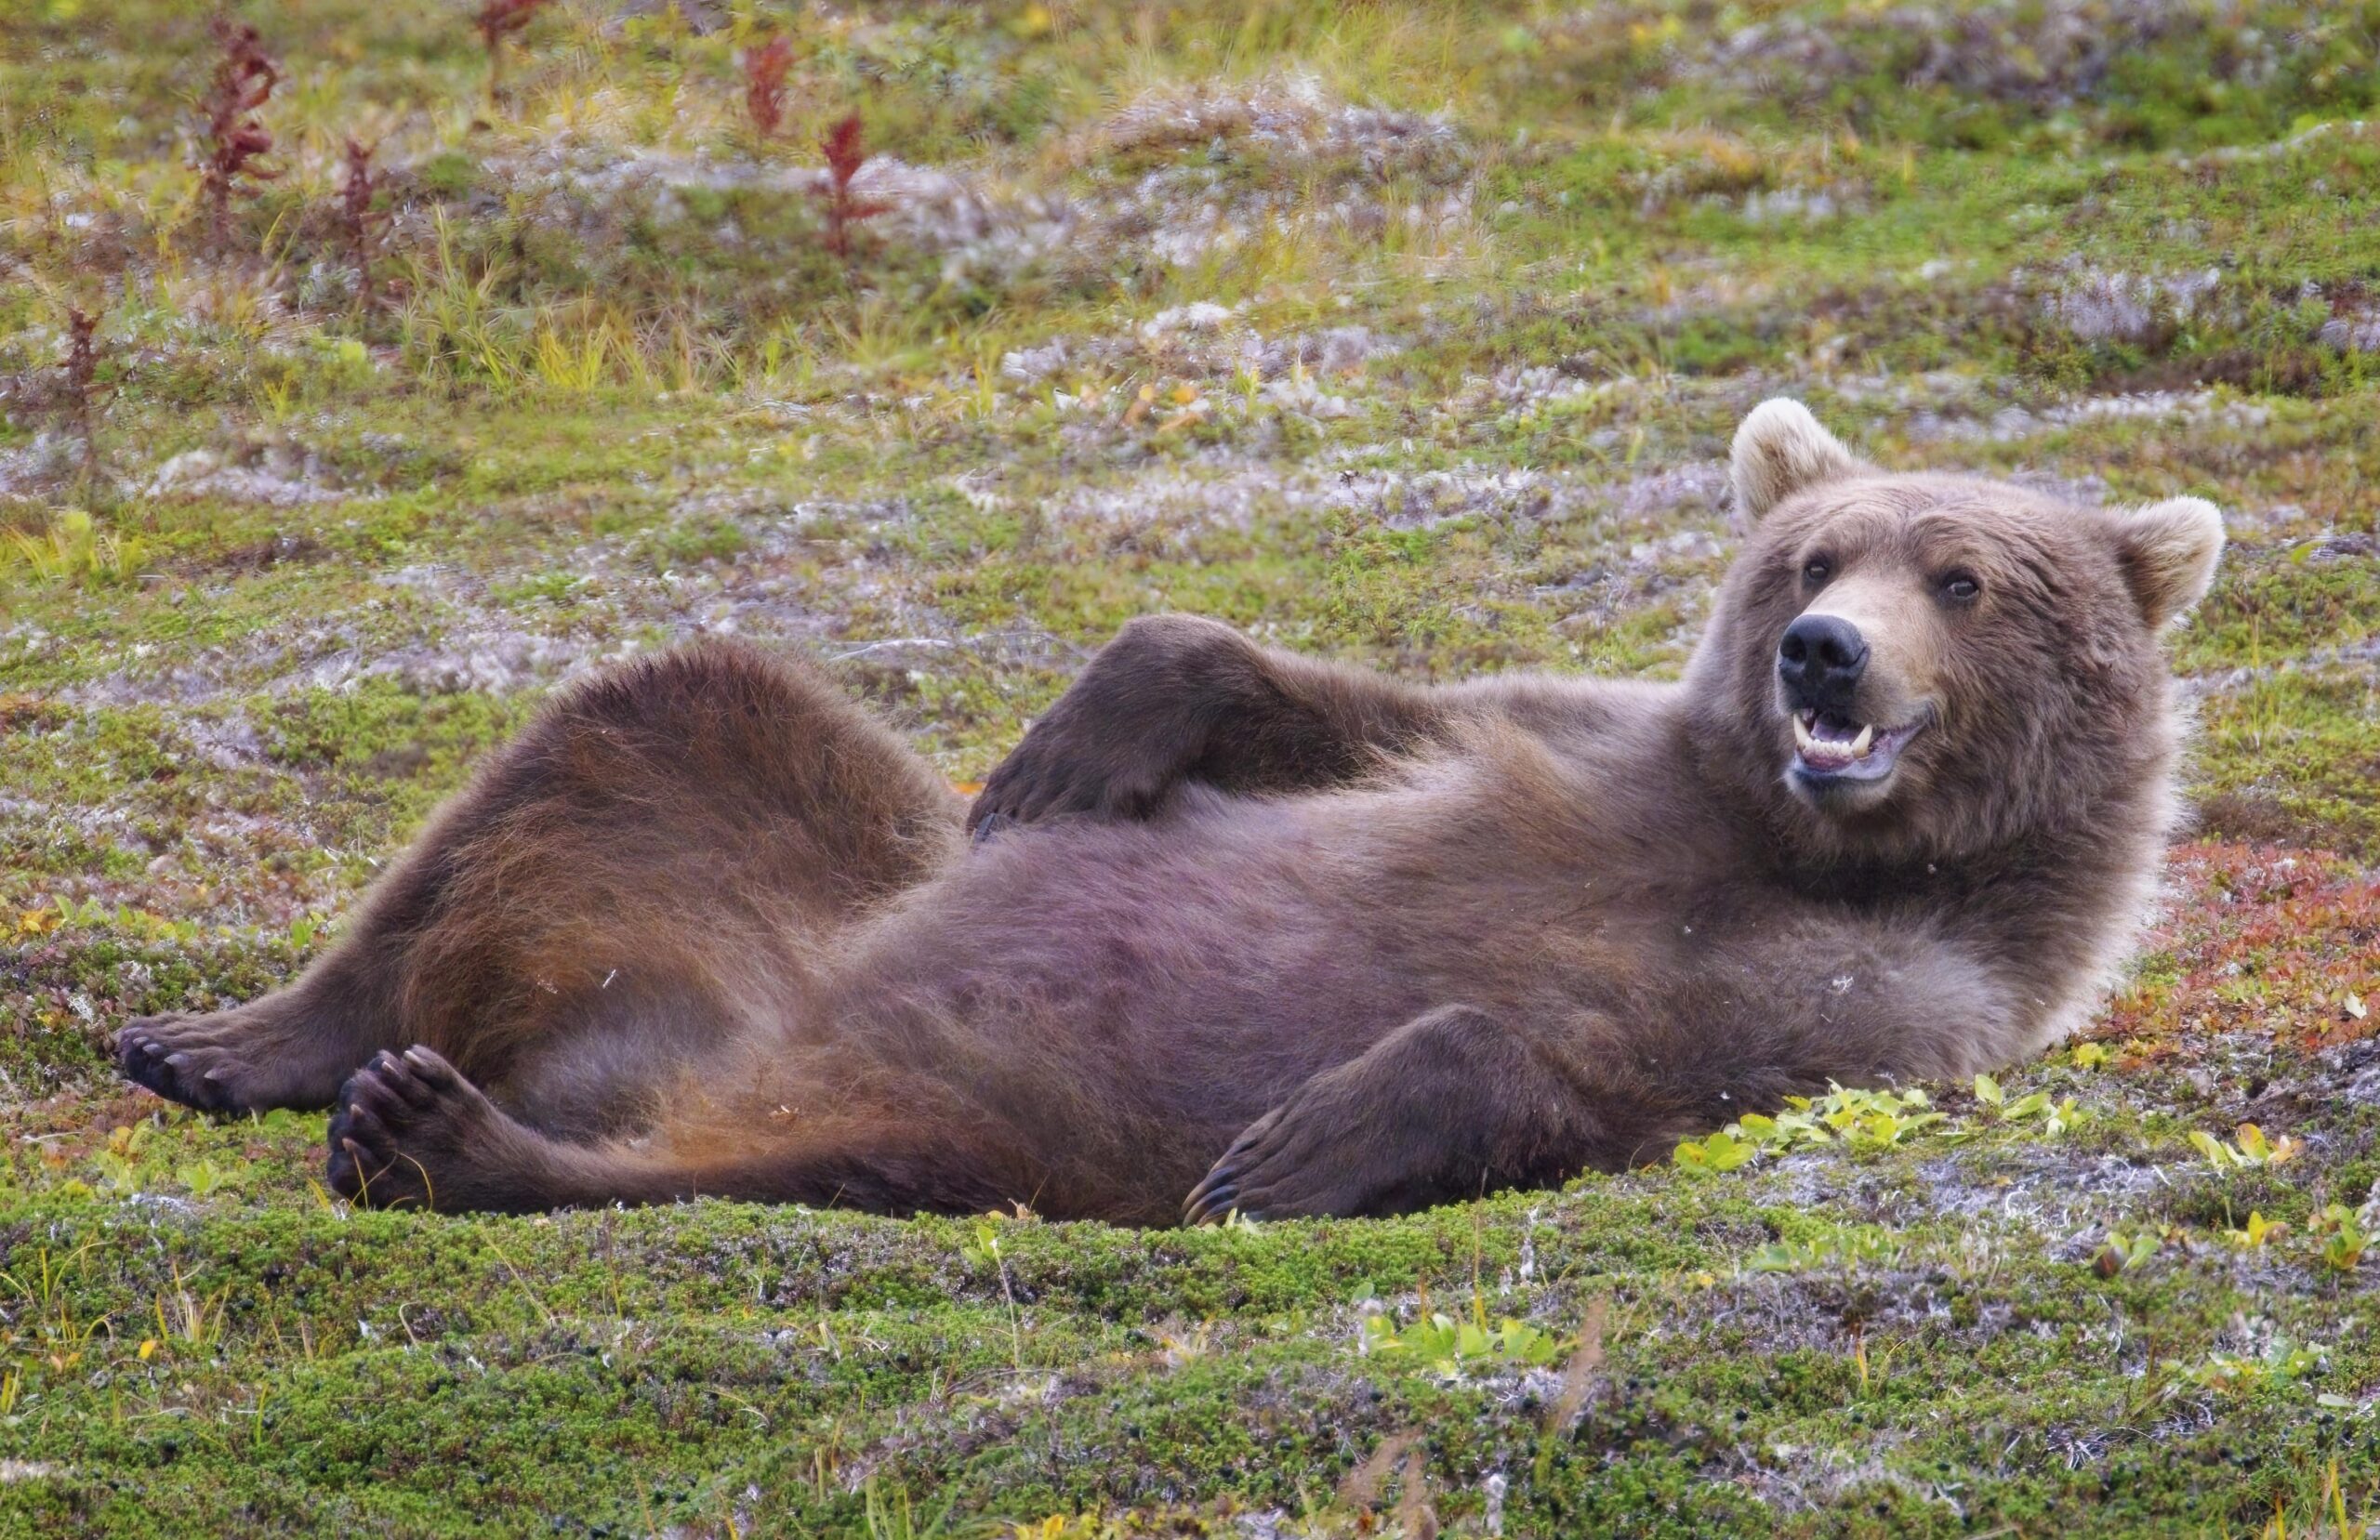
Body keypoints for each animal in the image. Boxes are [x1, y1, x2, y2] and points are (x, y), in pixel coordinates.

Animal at [112, 400, 2228, 1228]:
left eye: (1961, 576)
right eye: (1809, 546)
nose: (1819, 655)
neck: (1801, 846)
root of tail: (640, 1057)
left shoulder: (1910, 995)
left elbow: (1629, 1055)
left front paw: (1305, 1137)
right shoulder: (1585, 753)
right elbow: (1350, 718)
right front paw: (1086, 735)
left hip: (996, 1110)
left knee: (814, 1157)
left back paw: (449, 1133)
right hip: (780, 882)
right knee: (666, 703)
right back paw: (234, 1040)